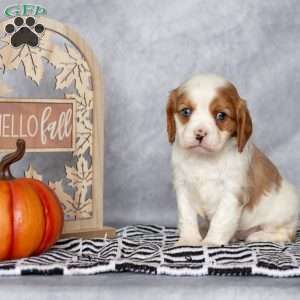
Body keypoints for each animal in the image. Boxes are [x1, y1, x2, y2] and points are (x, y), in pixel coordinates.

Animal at [168, 74, 298, 245]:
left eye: (221, 115)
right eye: (186, 112)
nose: (200, 134)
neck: (204, 159)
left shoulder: (232, 192)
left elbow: (221, 219)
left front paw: (211, 242)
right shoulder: (183, 187)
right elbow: (187, 216)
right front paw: (189, 240)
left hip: (283, 214)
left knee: (286, 234)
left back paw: (259, 236)